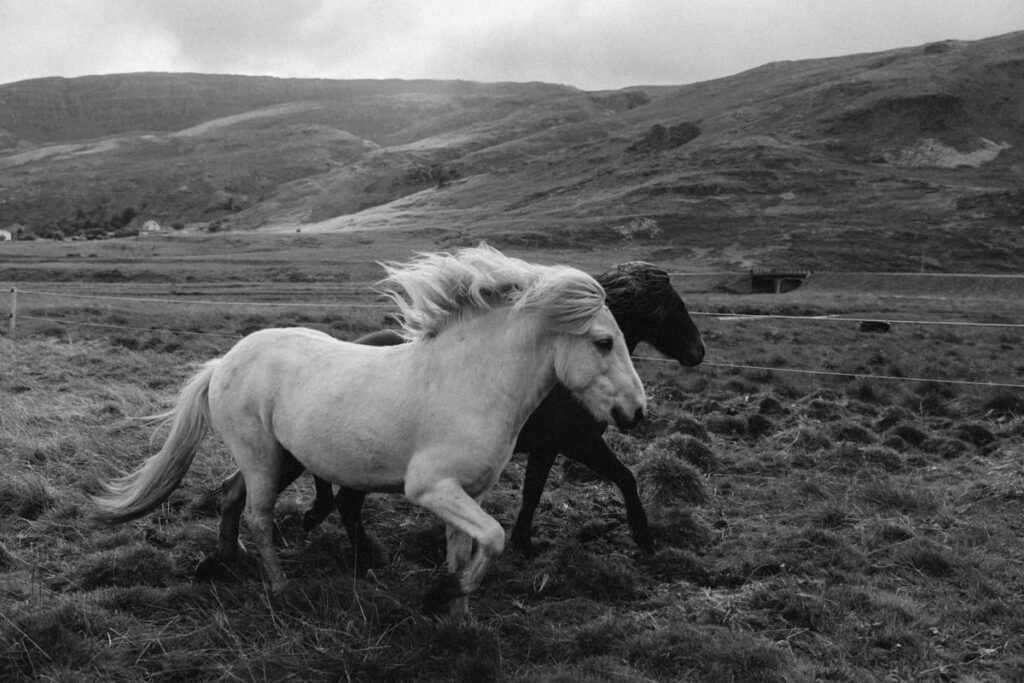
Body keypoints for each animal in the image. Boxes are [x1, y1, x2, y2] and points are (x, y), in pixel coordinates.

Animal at [92, 244, 643, 614]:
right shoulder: (431, 488)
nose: (637, 412)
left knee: (230, 497)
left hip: (281, 458)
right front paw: (441, 594)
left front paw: (457, 615)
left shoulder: (466, 493)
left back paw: (227, 562)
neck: (468, 384)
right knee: (257, 516)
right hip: (262, 458)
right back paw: (279, 588)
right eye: (603, 341)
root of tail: (225, 360)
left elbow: (465, 549)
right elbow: (493, 538)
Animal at [303, 264, 704, 561]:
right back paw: (364, 556)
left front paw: (523, 541)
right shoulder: (579, 442)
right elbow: (625, 478)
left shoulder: (547, 448)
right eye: (677, 308)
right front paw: (643, 537)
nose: (697, 352)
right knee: (345, 500)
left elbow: (533, 491)